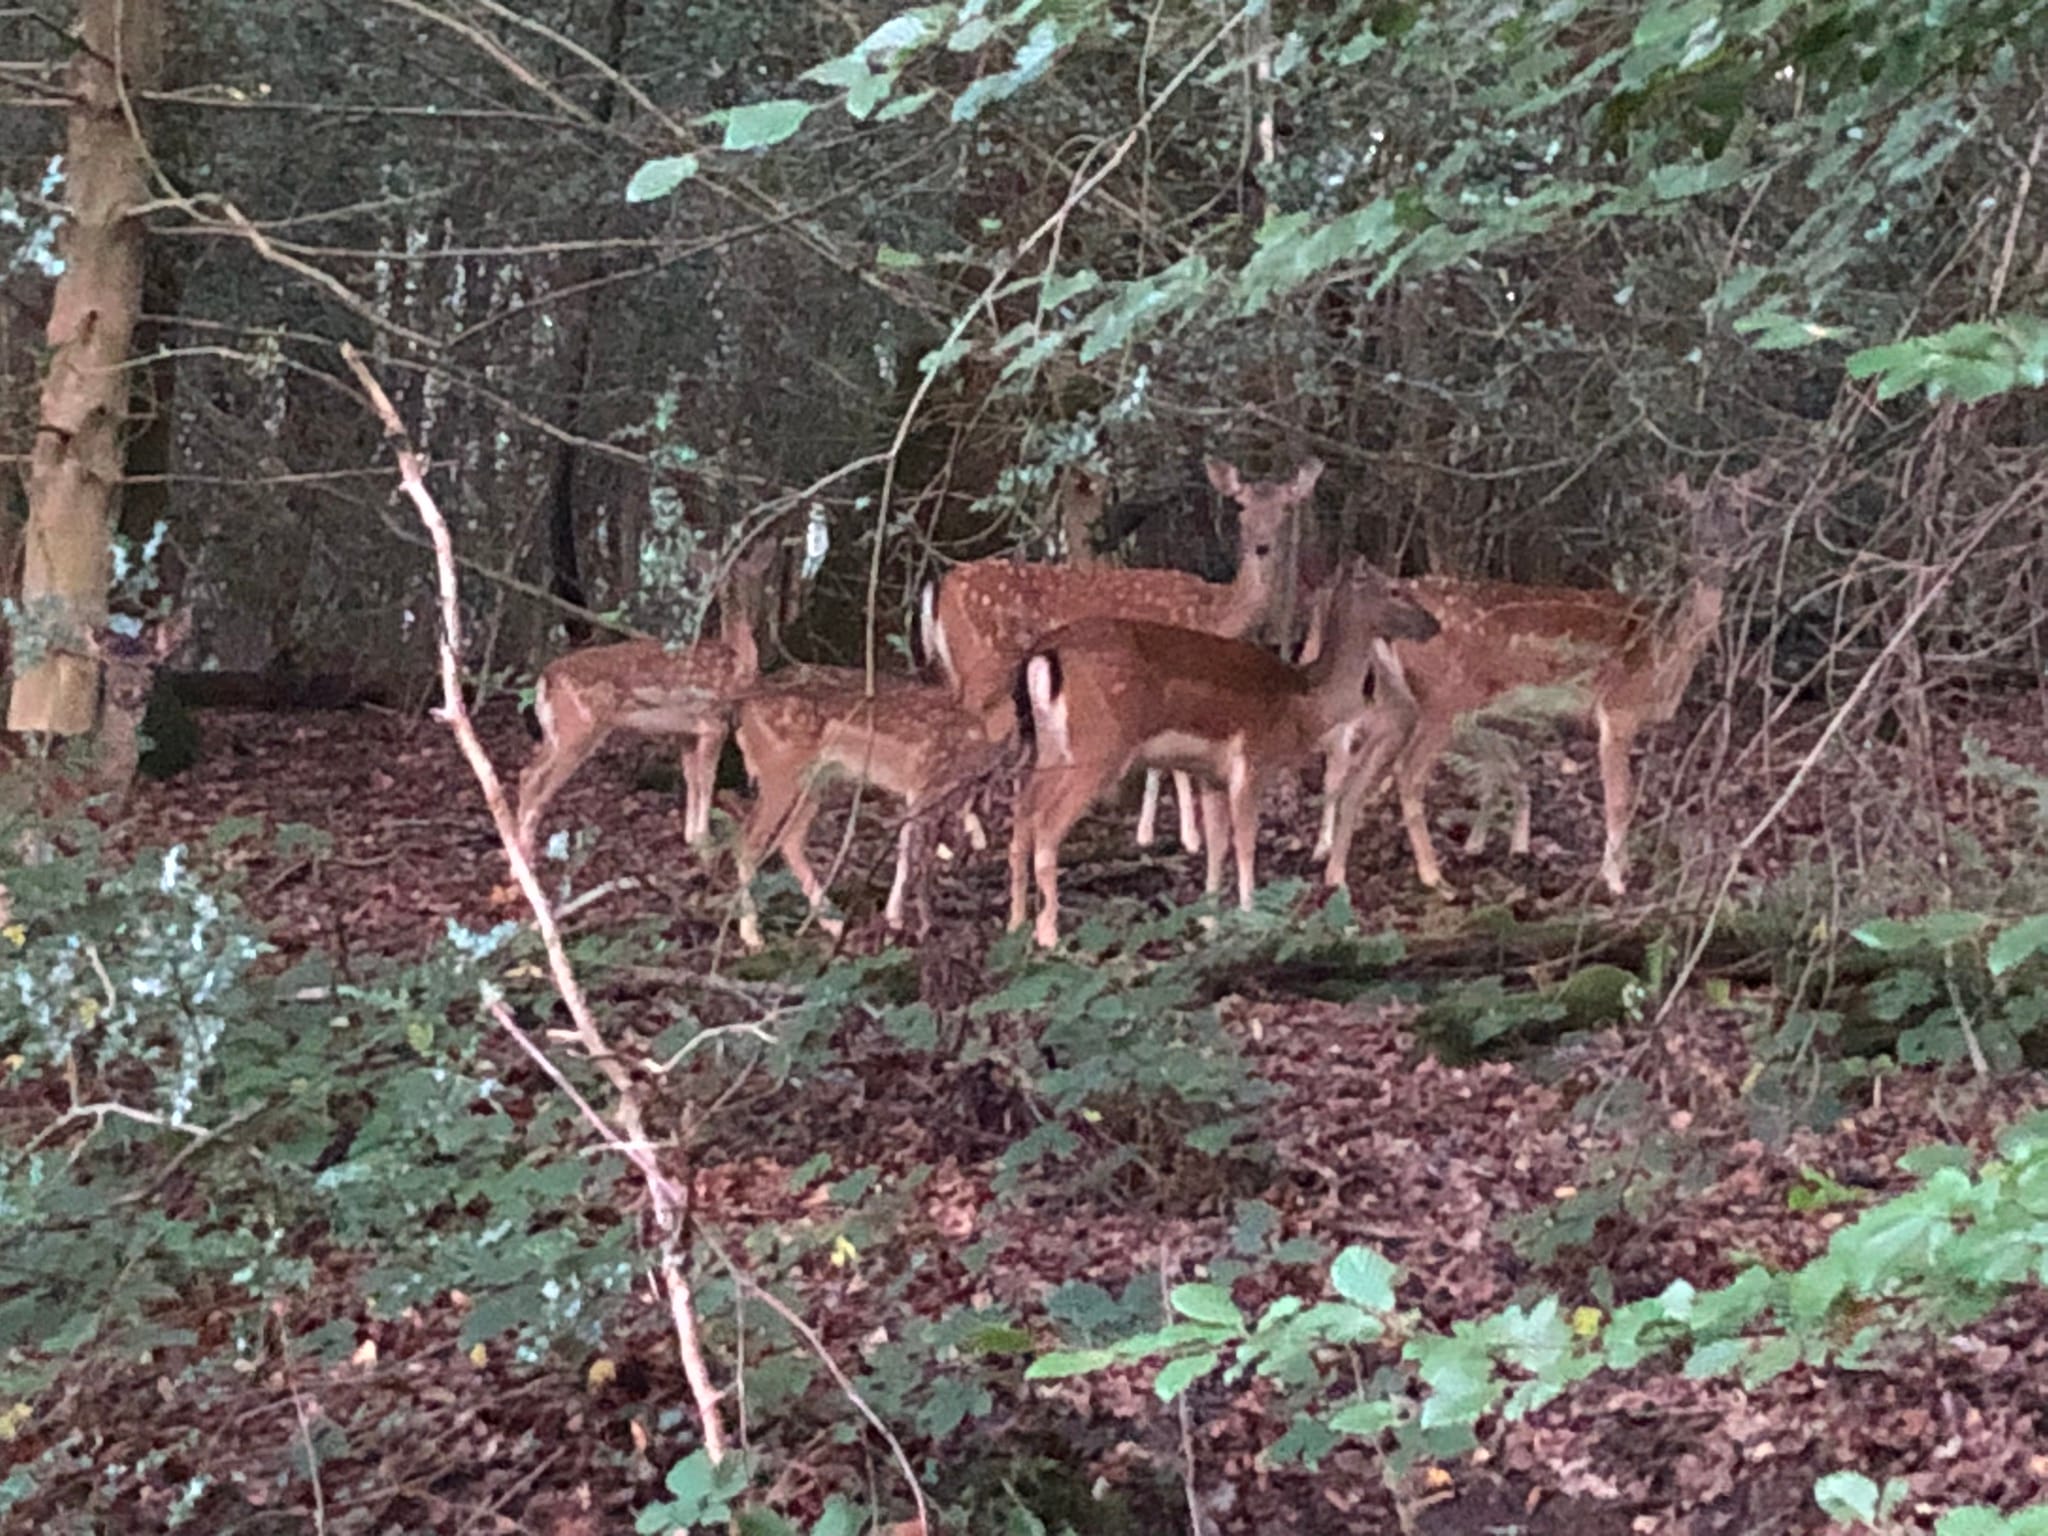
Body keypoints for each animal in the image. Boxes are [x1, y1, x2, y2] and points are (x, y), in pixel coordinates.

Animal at [514, 540, 774, 863]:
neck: (737, 658)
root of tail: (545, 679)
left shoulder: (685, 732)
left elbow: (690, 778)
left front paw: (690, 837)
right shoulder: (714, 722)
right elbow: (706, 779)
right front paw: (705, 842)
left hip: (555, 732)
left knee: (525, 774)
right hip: (580, 727)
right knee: (535, 781)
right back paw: (525, 857)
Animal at [731, 667, 1010, 951]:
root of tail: (745, 708)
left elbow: (911, 850)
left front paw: (898, 922)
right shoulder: (924, 782)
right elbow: (914, 856)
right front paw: (912, 927)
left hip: (817, 778)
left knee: (790, 839)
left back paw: (834, 922)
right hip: (779, 768)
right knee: (748, 840)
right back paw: (752, 934)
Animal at [923, 457, 1318, 860]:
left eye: (1287, 507)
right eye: (1240, 505)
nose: (1261, 546)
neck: (1214, 613)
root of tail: (940, 589)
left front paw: (1149, 833)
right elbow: (1173, 764)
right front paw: (1189, 838)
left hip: (961, 672)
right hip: (985, 666)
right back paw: (960, 838)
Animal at [1005, 558, 1442, 948]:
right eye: (1395, 590)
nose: (1435, 624)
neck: (1304, 704)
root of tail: (1043, 653)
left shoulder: (1210, 773)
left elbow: (1216, 844)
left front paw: (1210, 919)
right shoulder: (1253, 757)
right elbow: (1245, 843)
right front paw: (1251, 916)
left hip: (1048, 747)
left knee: (1023, 814)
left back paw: (1015, 923)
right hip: (1099, 744)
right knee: (1047, 825)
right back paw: (1048, 933)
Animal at [1317, 470, 1748, 897]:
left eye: (1737, 513)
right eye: (1692, 516)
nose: (1713, 553)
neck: (1665, 656)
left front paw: (1623, 866)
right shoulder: (1617, 710)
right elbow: (1619, 800)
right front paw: (1614, 881)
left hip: (1396, 701)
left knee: (1356, 771)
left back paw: (1336, 873)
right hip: (1443, 697)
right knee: (1406, 773)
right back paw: (1432, 875)